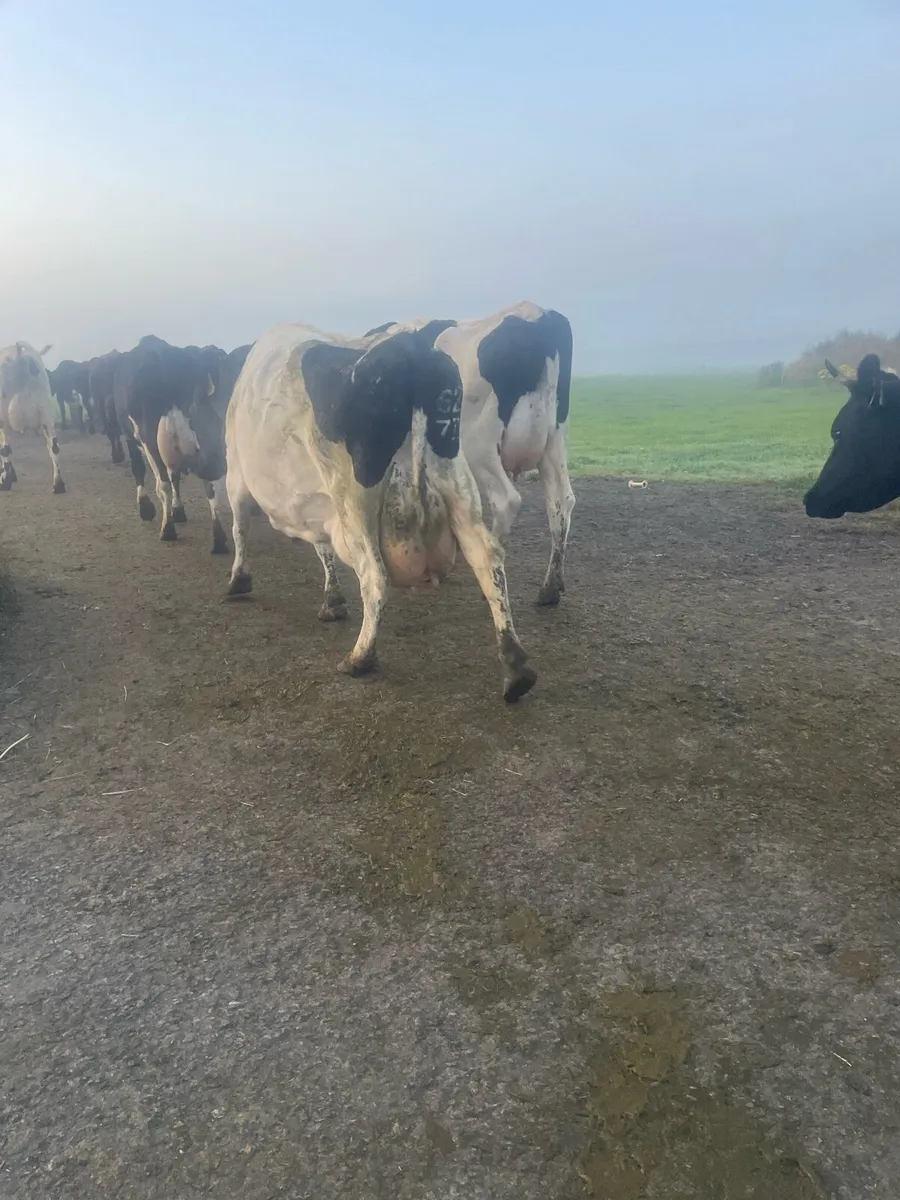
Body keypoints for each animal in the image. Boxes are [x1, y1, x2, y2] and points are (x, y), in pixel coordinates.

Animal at [0, 342, 65, 493]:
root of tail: (19, 355)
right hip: (46, 413)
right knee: (54, 446)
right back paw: (58, 484)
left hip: (3, 418)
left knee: (5, 450)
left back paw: (5, 483)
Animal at [113, 336, 250, 551]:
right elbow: (176, 475)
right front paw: (178, 511)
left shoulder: (130, 435)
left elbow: (139, 469)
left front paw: (146, 508)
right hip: (209, 439)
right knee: (211, 485)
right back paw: (218, 538)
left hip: (150, 439)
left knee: (163, 485)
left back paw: (167, 530)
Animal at [224, 323, 537, 702]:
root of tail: (411, 351)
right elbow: (322, 548)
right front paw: (332, 601)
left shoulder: (235, 471)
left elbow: (240, 526)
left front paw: (238, 580)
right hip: (458, 483)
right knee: (487, 559)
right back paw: (516, 668)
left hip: (354, 500)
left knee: (375, 576)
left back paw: (360, 657)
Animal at [362, 301, 574, 606]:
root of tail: (535, 316)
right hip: (553, 441)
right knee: (561, 501)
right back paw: (550, 588)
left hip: (479, 445)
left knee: (506, 500)